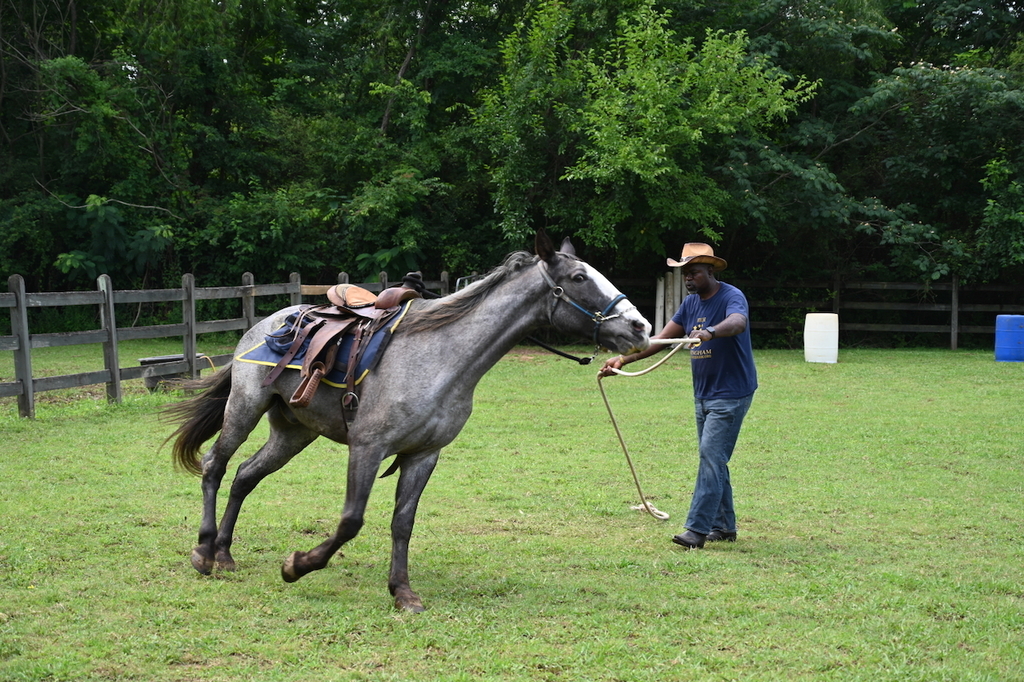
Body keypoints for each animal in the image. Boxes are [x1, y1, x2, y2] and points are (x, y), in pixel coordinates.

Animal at [164, 231, 651, 612]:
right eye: (579, 278)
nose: (641, 328)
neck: (441, 358)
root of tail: (265, 323)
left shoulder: (423, 455)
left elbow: (403, 523)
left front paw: (402, 591)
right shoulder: (368, 448)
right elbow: (351, 521)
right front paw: (297, 566)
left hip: (294, 432)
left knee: (246, 475)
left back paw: (225, 554)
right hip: (244, 409)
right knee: (216, 466)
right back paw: (204, 552)